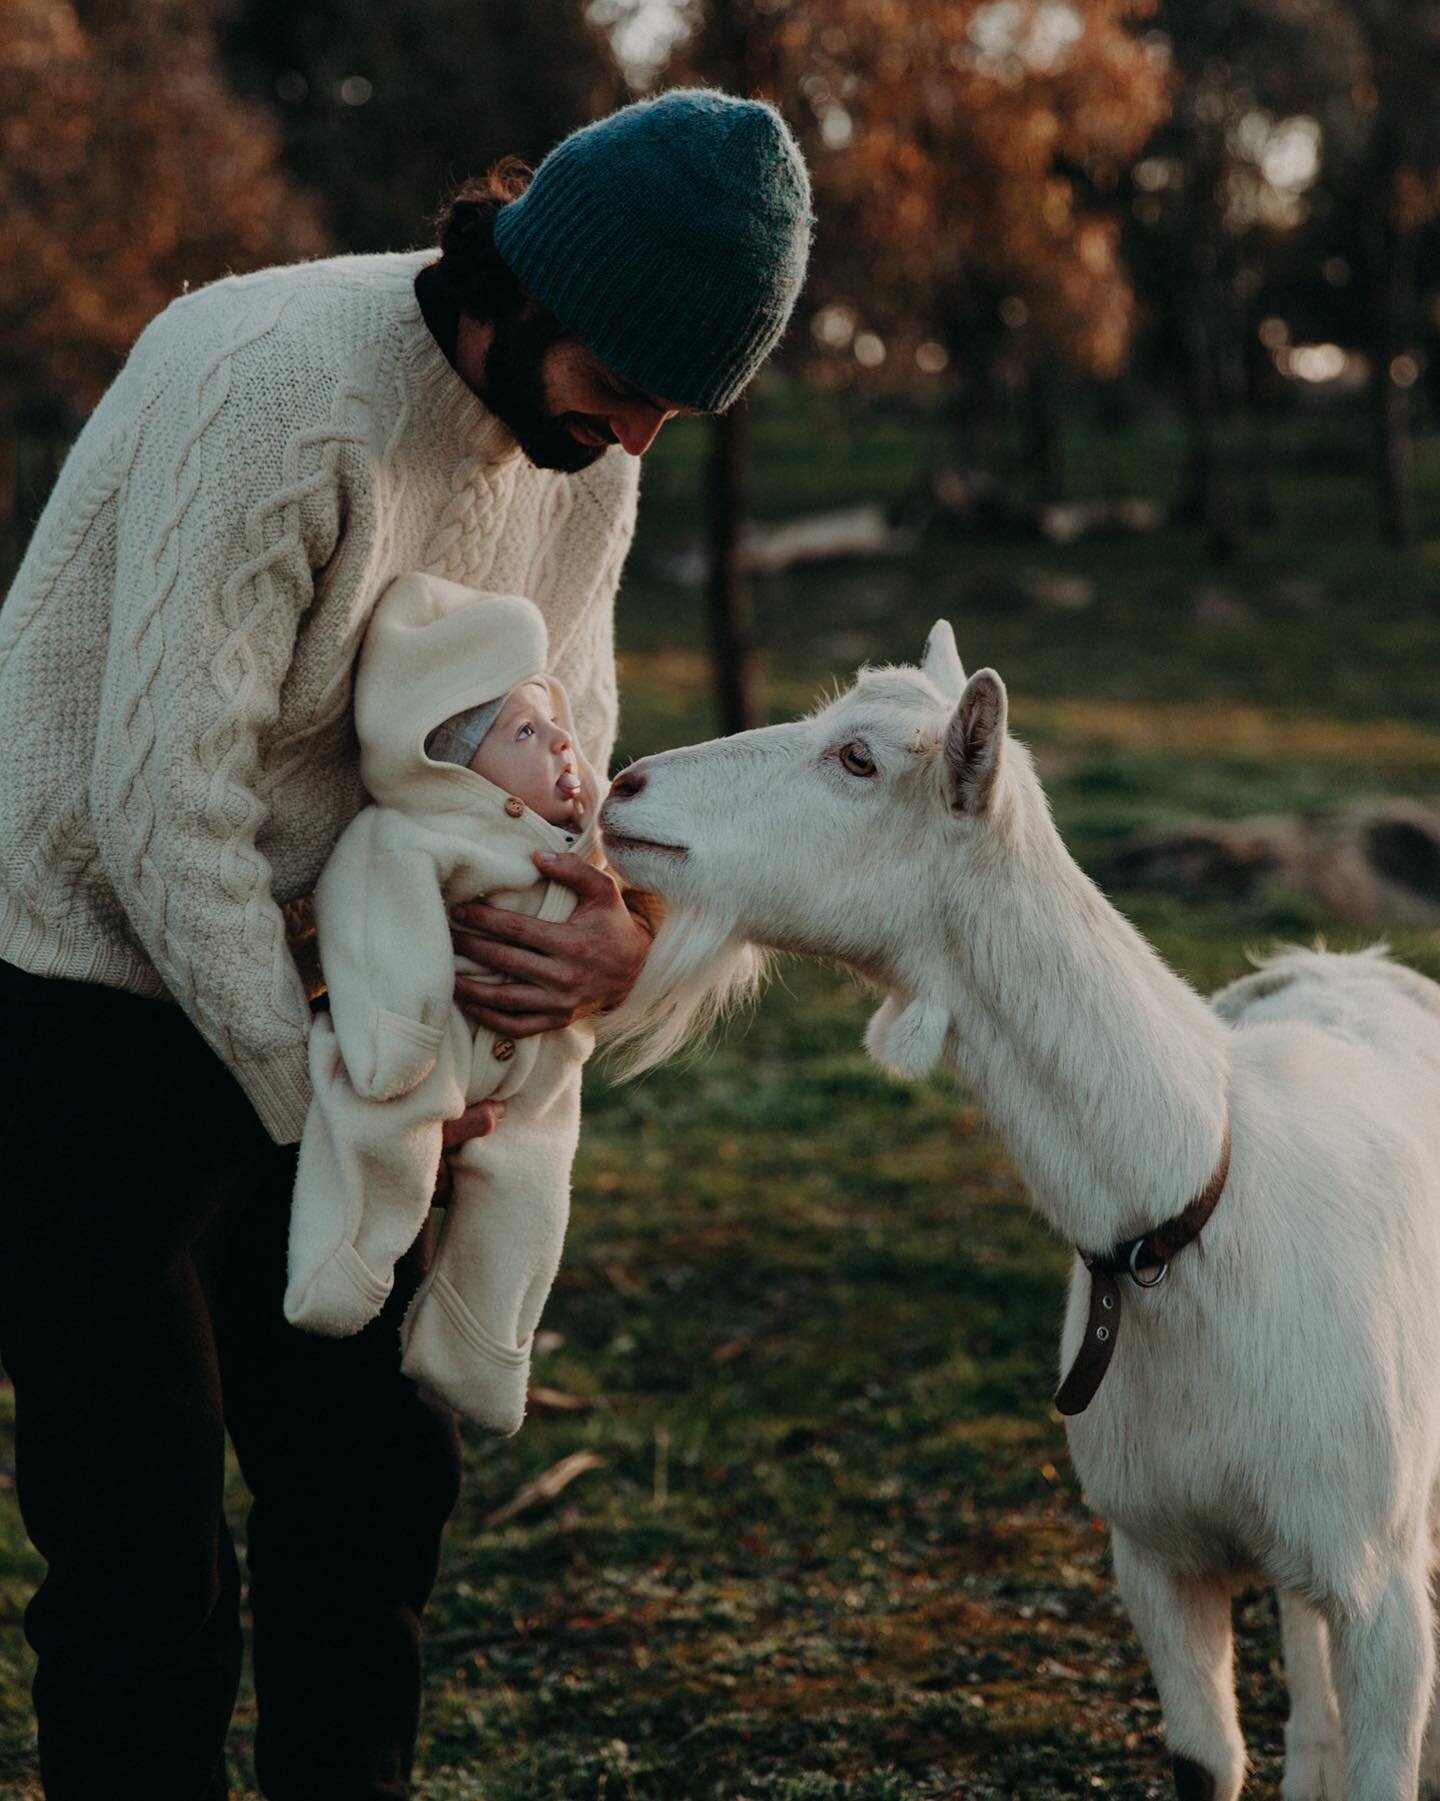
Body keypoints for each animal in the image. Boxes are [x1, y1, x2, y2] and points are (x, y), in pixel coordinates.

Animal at [597, 619, 1440, 1801]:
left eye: (858, 759)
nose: (623, 786)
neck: (1193, 1213)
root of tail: (1343, 961)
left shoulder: (1382, 1592)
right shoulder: (1155, 1551)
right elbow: (1207, 1761)